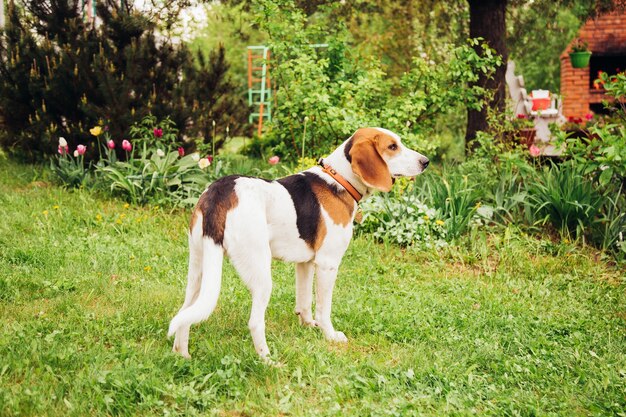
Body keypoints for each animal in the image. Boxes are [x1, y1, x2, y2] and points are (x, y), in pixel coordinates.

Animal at [167, 127, 428, 360]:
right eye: (392, 147)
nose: (425, 161)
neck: (339, 180)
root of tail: (220, 192)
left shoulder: (305, 263)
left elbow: (304, 302)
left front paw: (307, 325)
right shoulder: (327, 264)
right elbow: (324, 309)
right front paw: (330, 335)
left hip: (198, 269)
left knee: (185, 311)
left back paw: (182, 354)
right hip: (260, 274)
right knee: (255, 322)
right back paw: (268, 361)